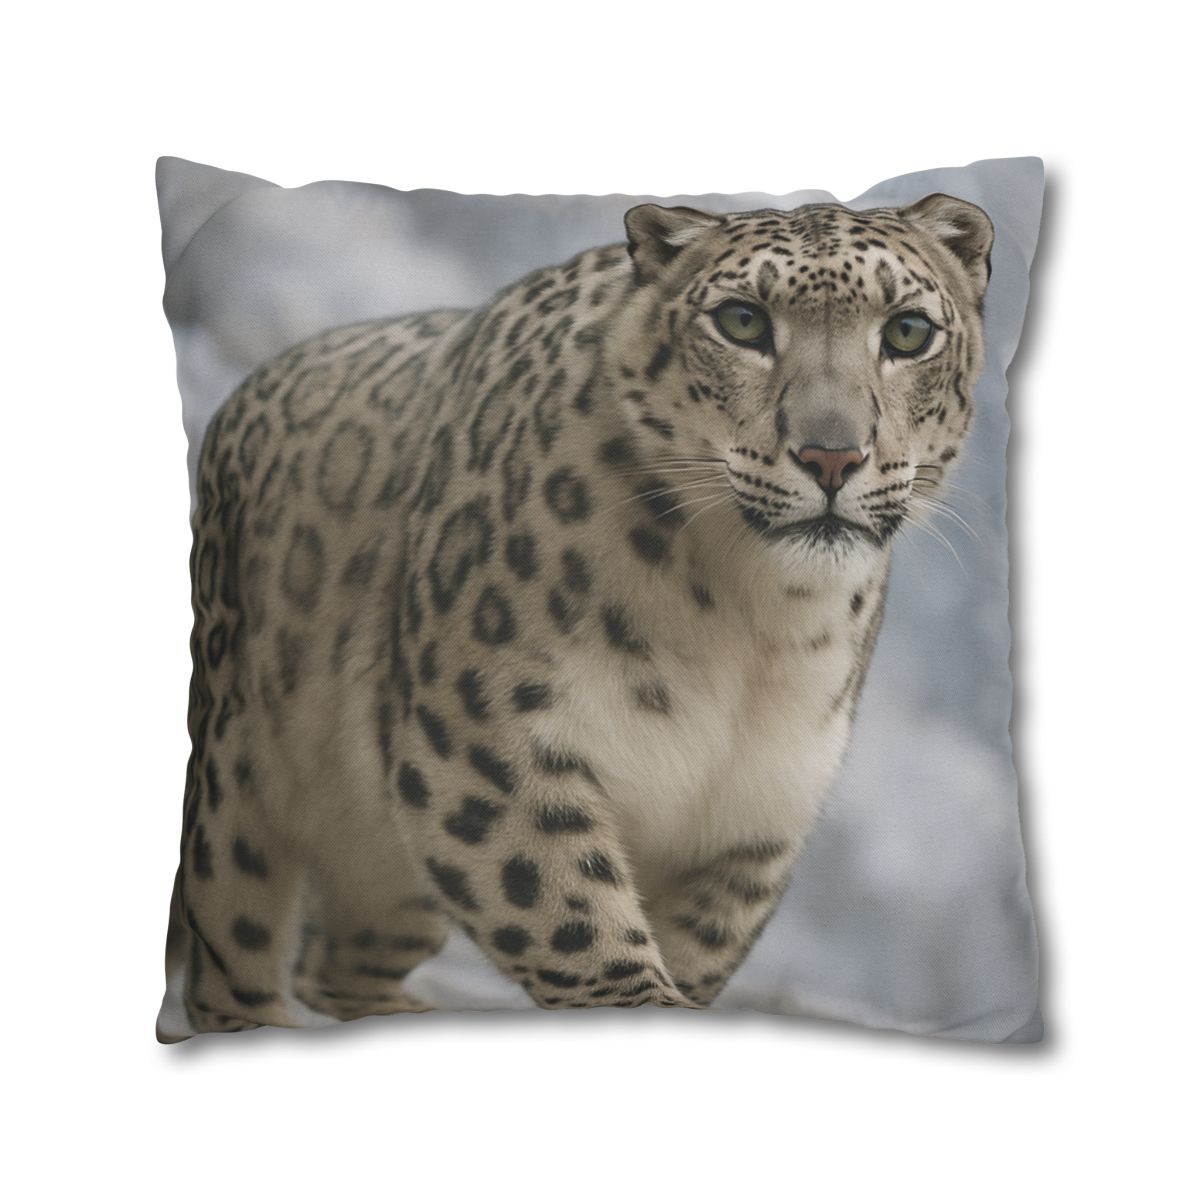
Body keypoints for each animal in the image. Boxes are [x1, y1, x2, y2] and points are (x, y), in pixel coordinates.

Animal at [157, 192, 994, 1040]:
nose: (832, 456)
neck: (752, 621)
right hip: (234, 789)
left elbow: (691, 941)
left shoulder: (755, 811)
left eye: (908, 331)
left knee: (343, 961)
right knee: (232, 956)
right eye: (743, 322)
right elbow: (568, 909)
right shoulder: (483, 739)